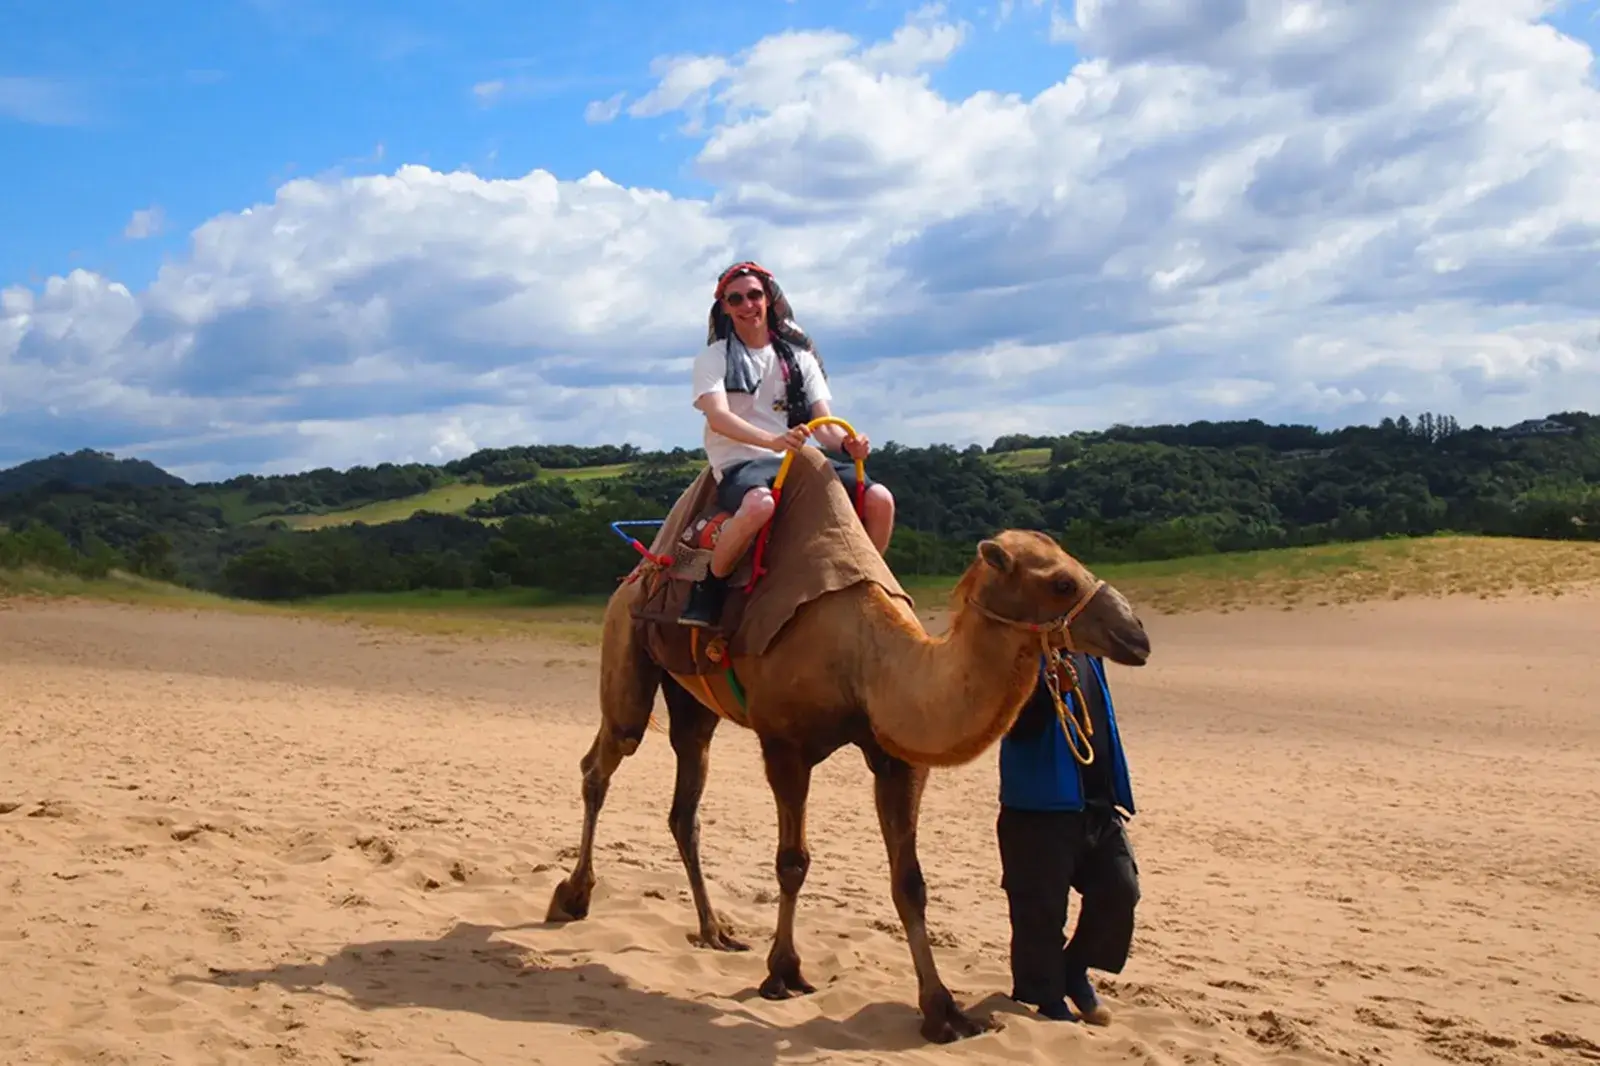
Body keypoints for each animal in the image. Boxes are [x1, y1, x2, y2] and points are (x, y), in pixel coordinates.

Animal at [547, 448, 1152, 1037]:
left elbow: (910, 882)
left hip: (694, 700)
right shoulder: (785, 744)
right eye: (1061, 582)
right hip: (626, 641)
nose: (1137, 634)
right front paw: (783, 973)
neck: (865, 660)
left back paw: (714, 928)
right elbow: (792, 862)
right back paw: (572, 897)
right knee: (603, 759)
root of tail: (641, 567)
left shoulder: (898, 757)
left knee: (684, 800)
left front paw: (944, 1011)